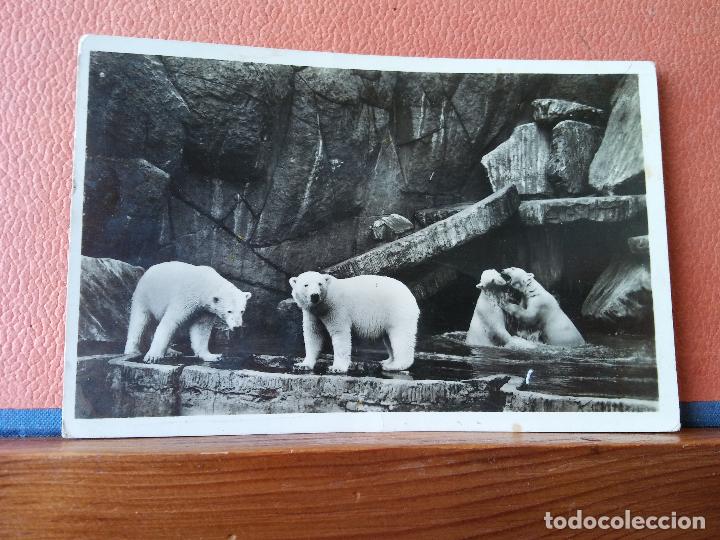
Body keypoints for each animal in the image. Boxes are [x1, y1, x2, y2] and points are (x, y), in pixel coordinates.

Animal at [124, 261, 252, 363]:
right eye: (229, 311)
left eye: (242, 311)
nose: (237, 327)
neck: (204, 284)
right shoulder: (185, 298)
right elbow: (170, 322)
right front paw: (152, 356)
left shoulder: (205, 310)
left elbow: (201, 329)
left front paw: (212, 356)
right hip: (145, 296)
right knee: (139, 321)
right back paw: (131, 350)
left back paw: (172, 351)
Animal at [289, 271, 420, 373]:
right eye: (306, 285)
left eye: (319, 284)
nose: (314, 295)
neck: (322, 305)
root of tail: (411, 295)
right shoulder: (312, 314)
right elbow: (313, 335)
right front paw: (303, 365)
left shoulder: (336, 309)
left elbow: (340, 335)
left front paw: (337, 368)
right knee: (389, 338)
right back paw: (387, 361)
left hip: (398, 311)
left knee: (401, 337)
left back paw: (395, 366)